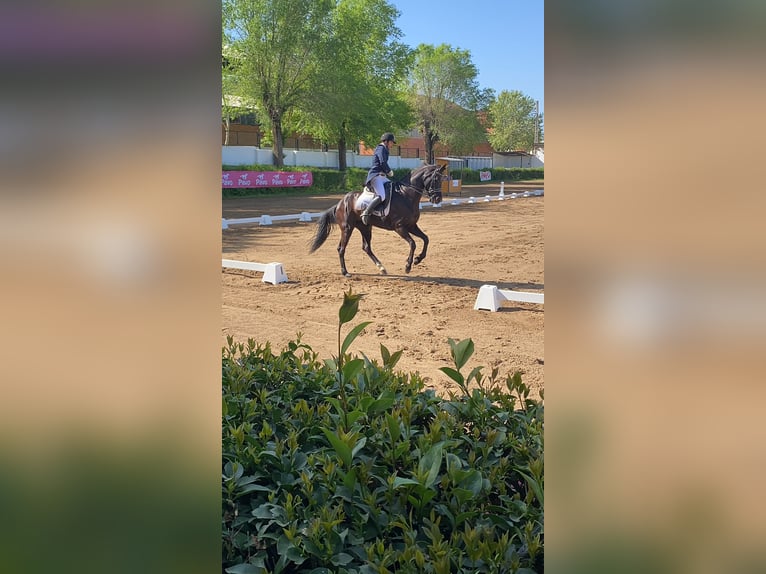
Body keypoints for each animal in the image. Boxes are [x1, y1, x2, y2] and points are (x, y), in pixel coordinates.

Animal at [308, 163, 448, 278]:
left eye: (442, 179)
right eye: (435, 179)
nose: (437, 199)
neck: (406, 195)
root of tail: (340, 203)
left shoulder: (411, 226)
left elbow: (426, 239)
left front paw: (418, 259)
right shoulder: (400, 227)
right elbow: (413, 243)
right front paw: (408, 266)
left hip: (365, 227)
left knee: (366, 248)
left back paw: (381, 268)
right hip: (347, 228)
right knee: (342, 248)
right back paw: (345, 272)